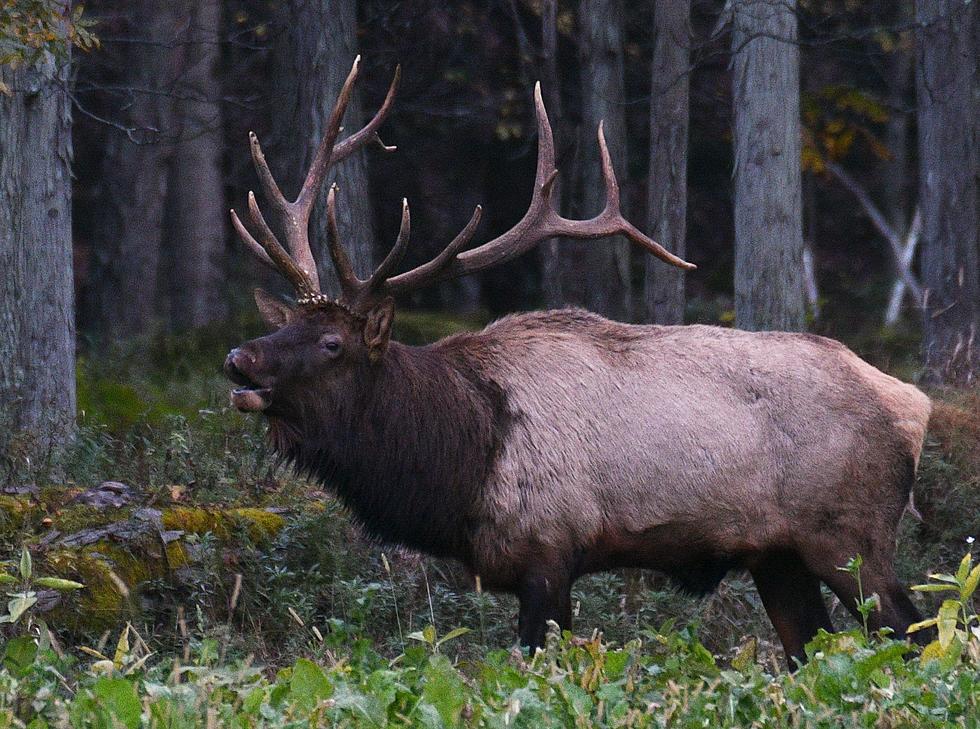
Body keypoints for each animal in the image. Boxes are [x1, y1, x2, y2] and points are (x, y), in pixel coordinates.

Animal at [224, 59, 936, 664]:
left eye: (332, 343)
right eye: (288, 323)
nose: (239, 358)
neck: (462, 457)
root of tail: (916, 405)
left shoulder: (549, 550)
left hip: (851, 538)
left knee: (917, 634)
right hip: (778, 556)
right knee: (811, 651)